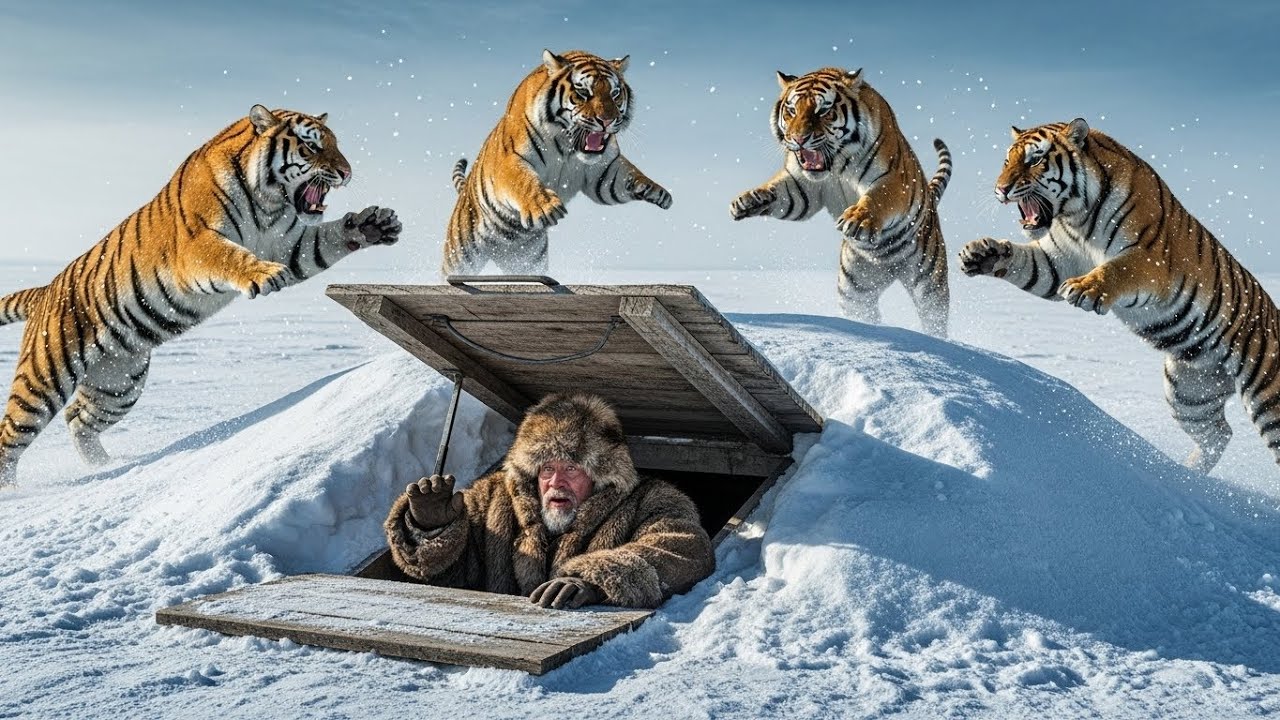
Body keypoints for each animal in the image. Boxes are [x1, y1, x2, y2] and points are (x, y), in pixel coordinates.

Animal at [0, 105, 402, 486]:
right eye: (311, 146)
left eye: (336, 144)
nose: (346, 172)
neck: (269, 203)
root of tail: (45, 290)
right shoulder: (197, 245)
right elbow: (230, 256)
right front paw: (264, 274)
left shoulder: (291, 245)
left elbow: (327, 238)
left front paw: (374, 223)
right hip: (45, 378)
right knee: (11, 436)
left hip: (118, 383)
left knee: (78, 418)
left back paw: (105, 466)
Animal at [441, 49, 673, 276]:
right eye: (583, 92)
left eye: (615, 94)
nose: (607, 121)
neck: (567, 146)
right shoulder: (511, 159)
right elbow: (523, 181)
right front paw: (545, 206)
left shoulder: (603, 172)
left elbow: (627, 175)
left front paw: (658, 192)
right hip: (460, 257)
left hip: (526, 261)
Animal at [729, 67, 953, 337]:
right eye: (791, 110)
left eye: (822, 110)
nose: (799, 138)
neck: (837, 163)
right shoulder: (802, 186)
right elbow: (779, 191)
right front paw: (748, 200)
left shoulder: (892, 179)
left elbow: (877, 198)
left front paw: (857, 219)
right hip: (856, 290)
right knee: (864, 314)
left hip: (929, 282)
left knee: (934, 320)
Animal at [959, 118, 1280, 473]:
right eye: (1006, 161)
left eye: (1035, 159)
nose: (1001, 189)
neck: (1077, 218)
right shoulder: (1057, 260)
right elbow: (1022, 261)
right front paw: (980, 252)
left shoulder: (1148, 258)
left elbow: (1115, 270)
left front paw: (1085, 289)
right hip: (1189, 391)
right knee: (1219, 433)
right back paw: (1187, 474)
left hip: (1268, 399)